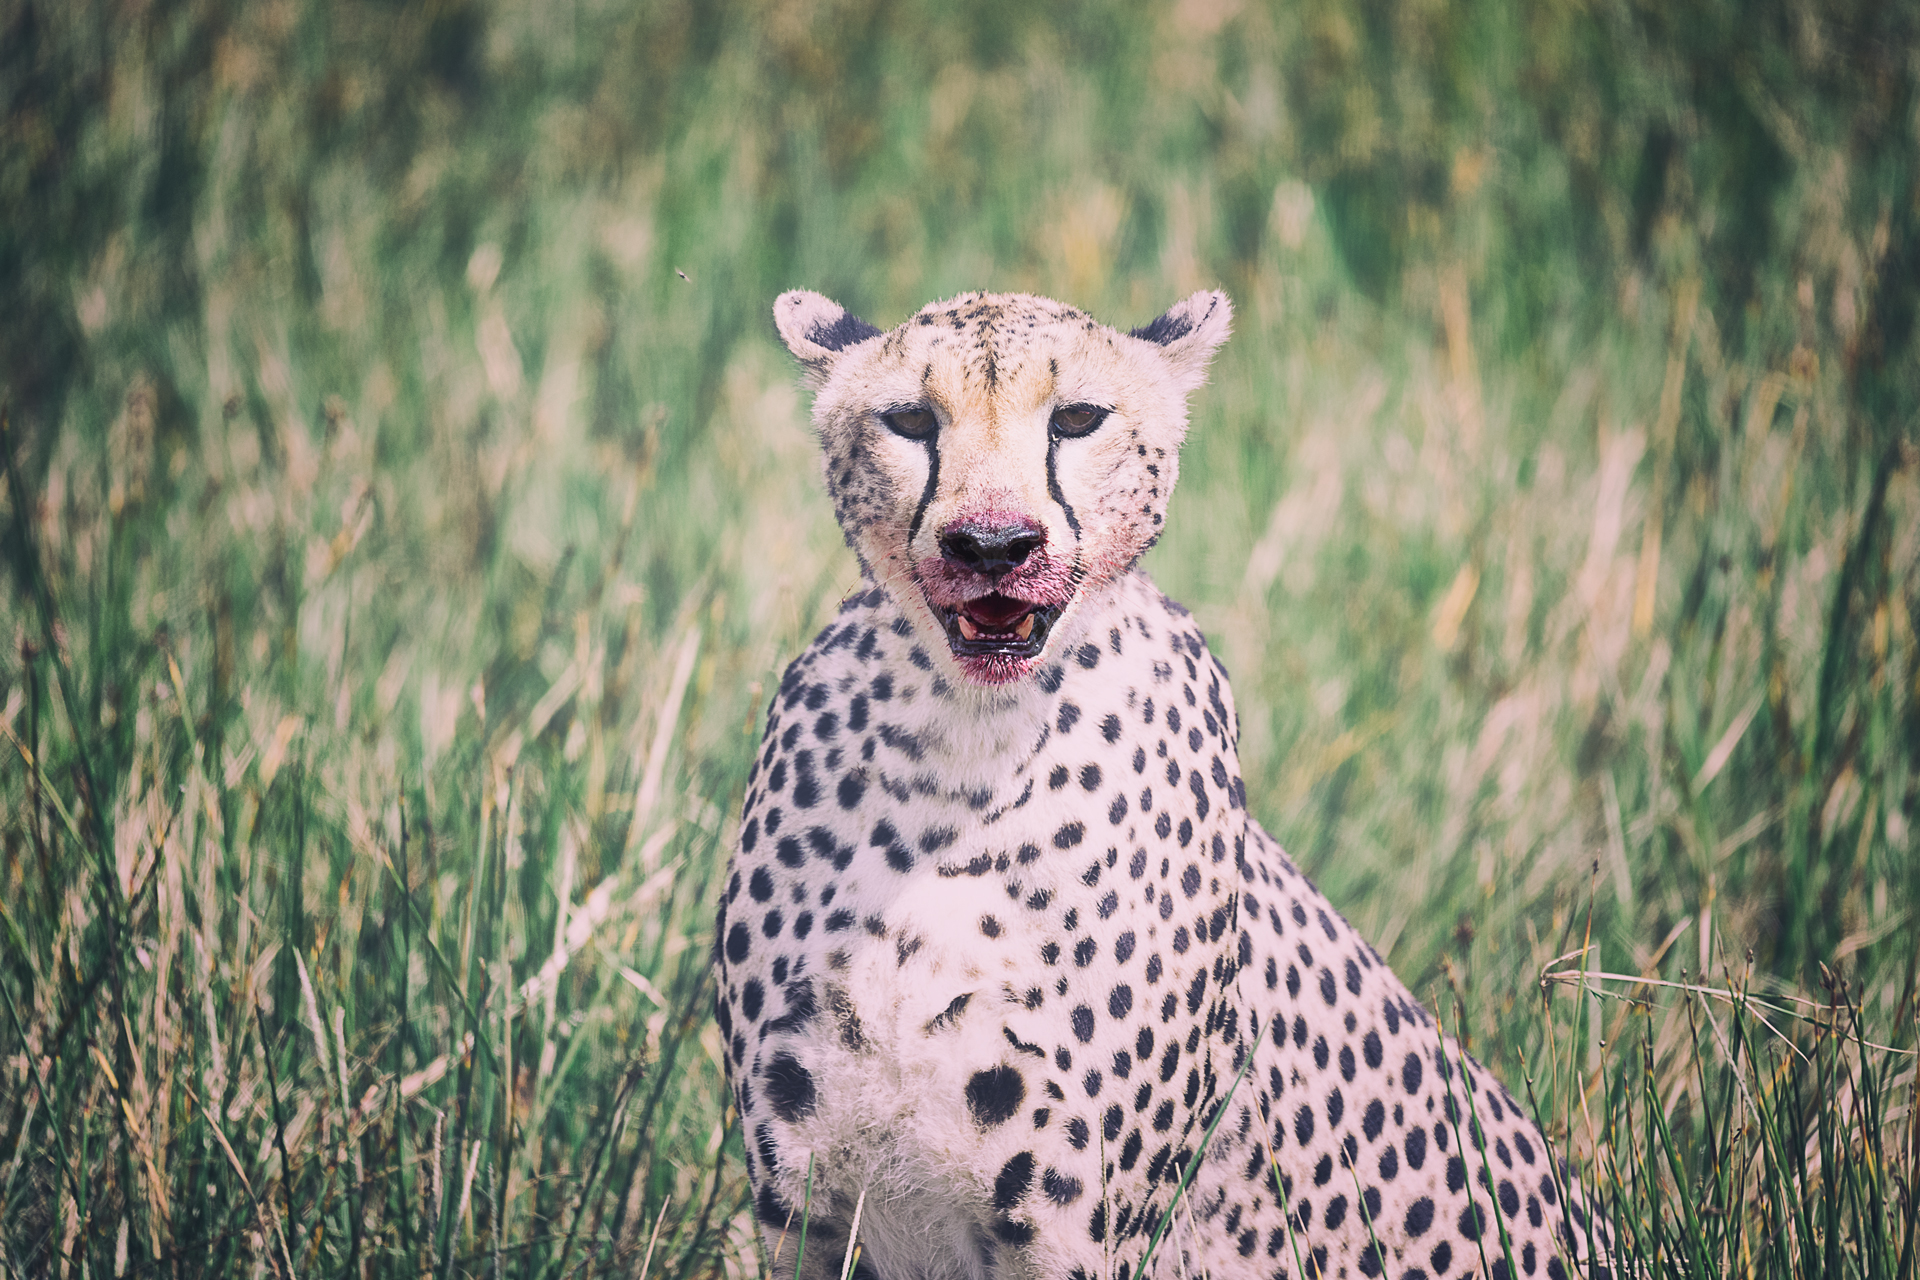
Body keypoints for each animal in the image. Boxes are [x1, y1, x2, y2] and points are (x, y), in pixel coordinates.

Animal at [714, 293, 1612, 1280]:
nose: (992, 545)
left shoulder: (1075, 1236)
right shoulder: (805, 1214)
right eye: (910, 421)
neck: (964, 743)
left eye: (1077, 419)